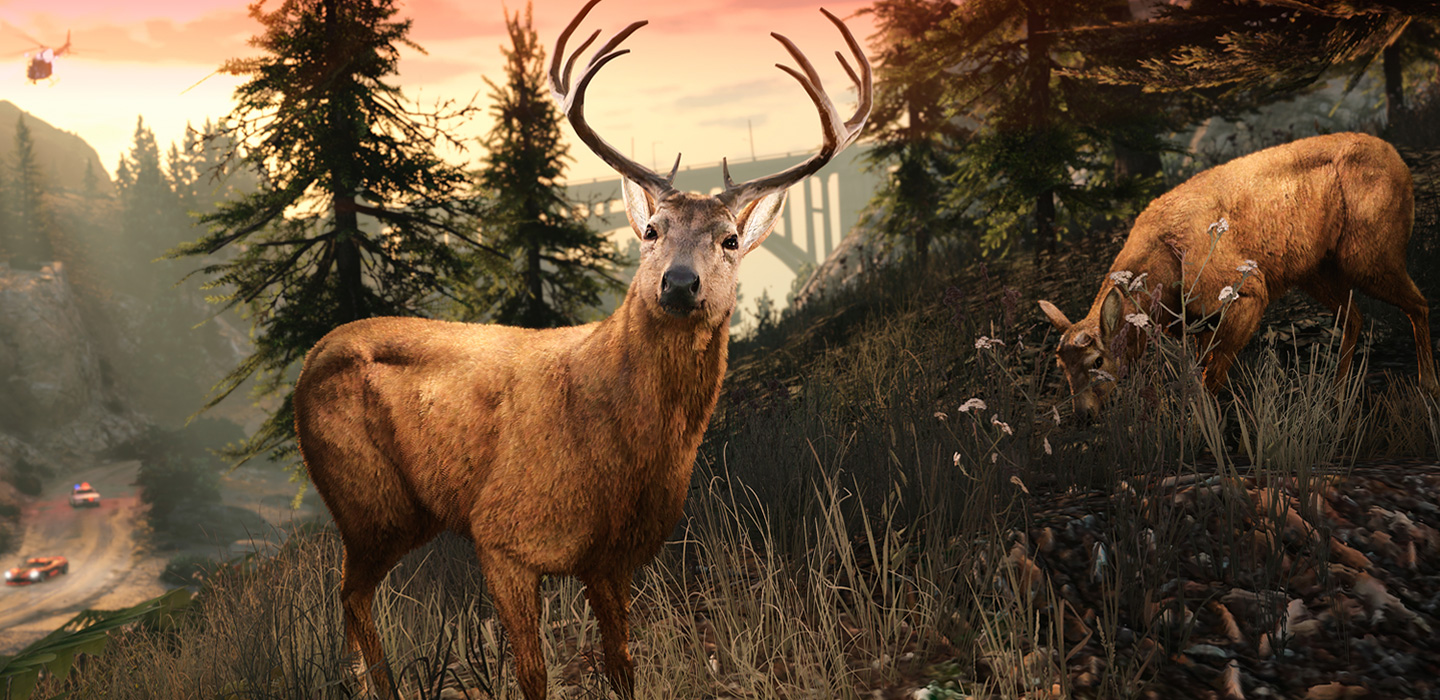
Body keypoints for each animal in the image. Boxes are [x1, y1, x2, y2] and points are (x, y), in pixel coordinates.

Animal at [290, 1, 870, 698]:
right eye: (651, 231)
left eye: (730, 239)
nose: (679, 283)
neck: (620, 446)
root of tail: (312, 357)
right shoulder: (503, 533)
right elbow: (533, 675)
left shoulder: (613, 560)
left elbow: (623, 665)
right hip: (367, 499)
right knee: (350, 595)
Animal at [1038, 132, 1439, 420]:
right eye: (1060, 365)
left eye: (1097, 361)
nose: (1083, 417)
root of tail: (1399, 160)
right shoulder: (1198, 323)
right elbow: (1198, 374)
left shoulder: (1245, 295)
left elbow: (1209, 379)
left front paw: (1199, 430)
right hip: (1317, 270)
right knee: (1355, 316)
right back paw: (1336, 396)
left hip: (1370, 253)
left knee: (1418, 304)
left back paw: (1427, 387)